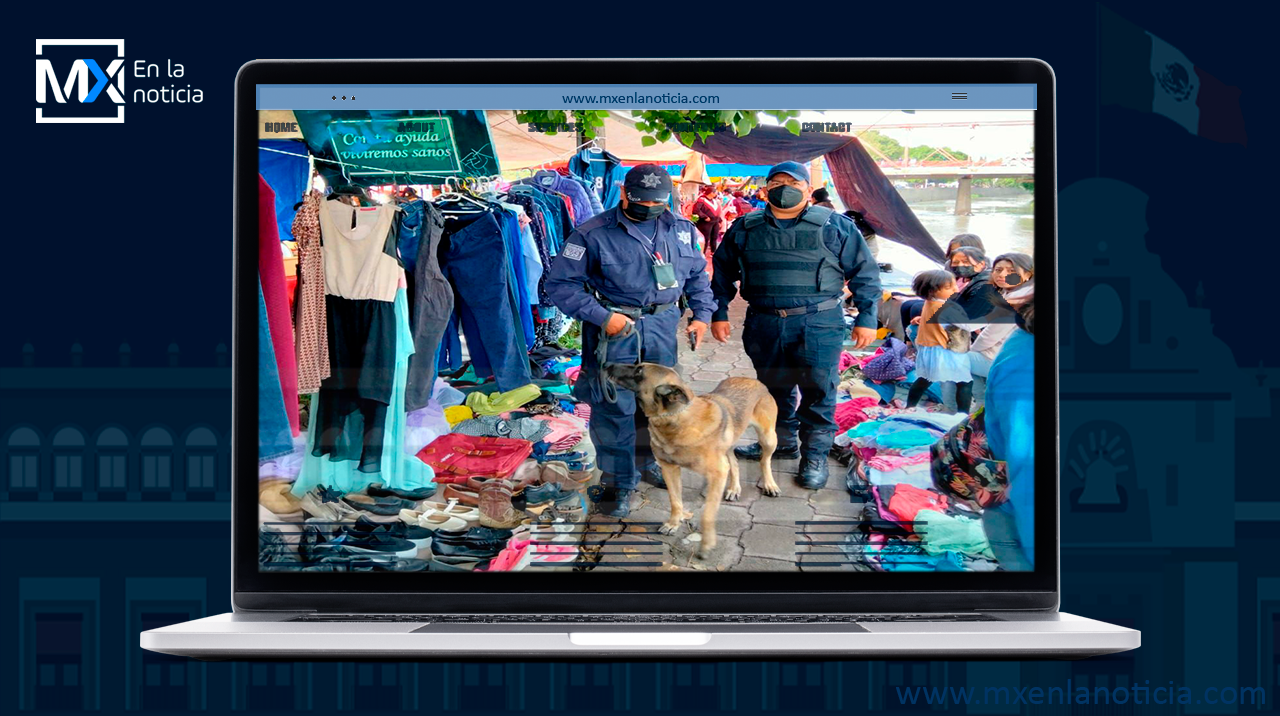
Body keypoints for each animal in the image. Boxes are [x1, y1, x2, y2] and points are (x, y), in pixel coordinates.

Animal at [606, 363, 778, 561]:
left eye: (639, 371)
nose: (607, 365)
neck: (674, 417)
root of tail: (753, 380)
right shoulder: (669, 469)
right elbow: (675, 501)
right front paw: (673, 523)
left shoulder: (717, 473)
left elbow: (707, 514)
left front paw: (706, 544)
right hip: (729, 444)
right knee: (734, 462)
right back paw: (734, 488)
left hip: (768, 438)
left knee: (765, 461)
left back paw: (770, 484)